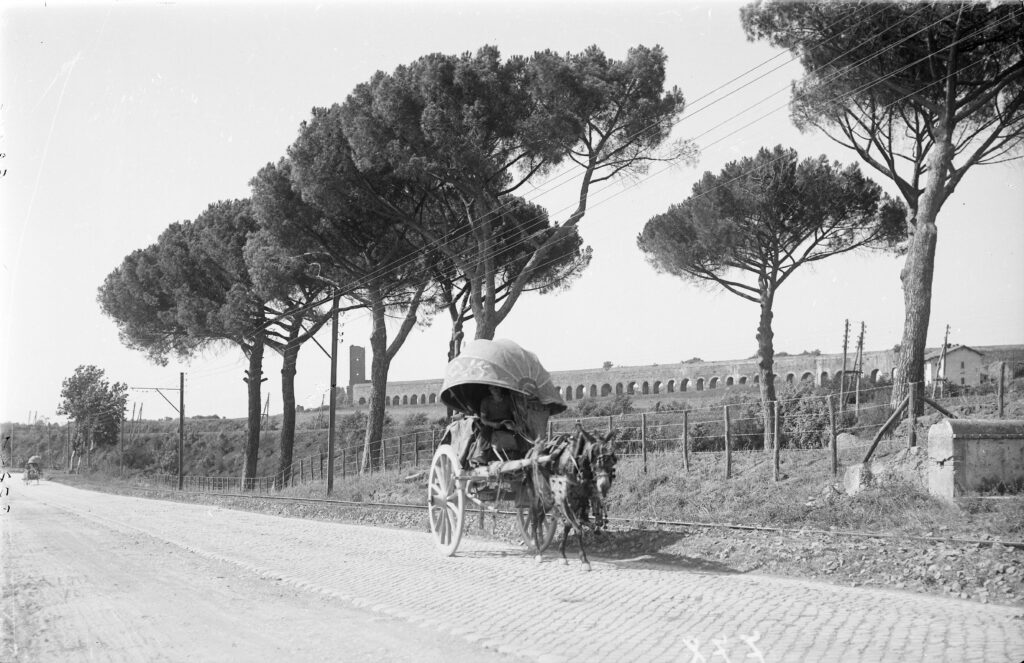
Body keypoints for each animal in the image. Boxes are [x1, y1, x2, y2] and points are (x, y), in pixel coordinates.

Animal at [528, 428, 614, 573]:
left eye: (611, 458)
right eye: (593, 456)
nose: (604, 485)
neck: (573, 466)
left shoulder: (580, 501)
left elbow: (569, 526)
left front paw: (562, 555)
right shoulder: (563, 501)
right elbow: (578, 528)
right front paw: (584, 560)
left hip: (549, 500)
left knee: (540, 518)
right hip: (539, 496)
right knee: (534, 520)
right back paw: (538, 552)